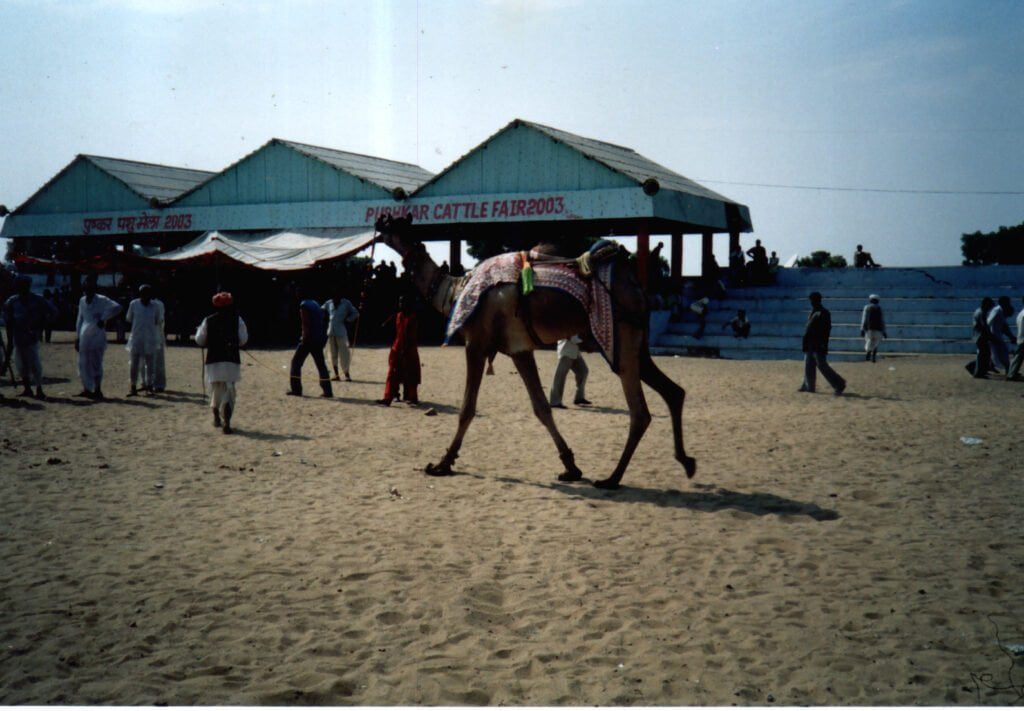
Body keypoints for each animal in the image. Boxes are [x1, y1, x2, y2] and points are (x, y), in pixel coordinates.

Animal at [376, 214, 696, 489]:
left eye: (391, 223)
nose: (377, 221)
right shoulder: (520, 349)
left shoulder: (476, 343)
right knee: (674, 391)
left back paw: (612, 478)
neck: (457, 290)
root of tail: (636, 286)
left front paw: (442, 464)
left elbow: (467, 408)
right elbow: (541, 407)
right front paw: (570, 467)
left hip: (622, 341)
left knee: (640, 412)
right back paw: (686, 462)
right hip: (638, 345)